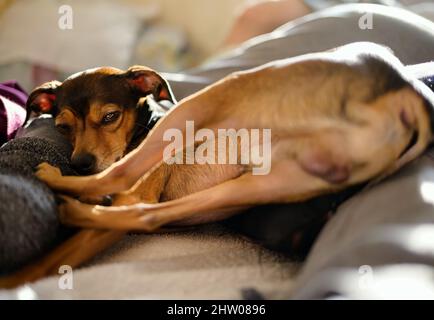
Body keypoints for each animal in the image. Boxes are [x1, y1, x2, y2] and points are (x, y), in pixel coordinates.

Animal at [0, 42, 434, 288]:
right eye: (62, 127)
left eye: (109, 117)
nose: (81, 163)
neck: (142, 127)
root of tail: (405, 90)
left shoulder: (124, 194)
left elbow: (58, 256)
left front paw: (19, 280)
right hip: (265, 184)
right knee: (148, 216)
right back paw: (71, 204)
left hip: (219, 96)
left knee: (124, 184)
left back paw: (61, 187)